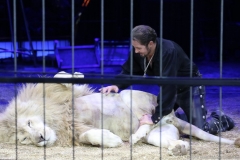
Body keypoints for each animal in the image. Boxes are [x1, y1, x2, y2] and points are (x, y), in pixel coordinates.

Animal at [0, 71, 239, 155]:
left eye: (29, 124)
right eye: (23, 139)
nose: (40, 138)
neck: (57, 121)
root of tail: (173, 118)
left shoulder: (59, 95)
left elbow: (59, 78)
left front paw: (74, 74)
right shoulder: (75, 130)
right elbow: (88, 134)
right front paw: (111, 140)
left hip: (135, 96)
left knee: (151, 113)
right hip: (159, 134)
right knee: (166, 137)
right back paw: (170, 145)